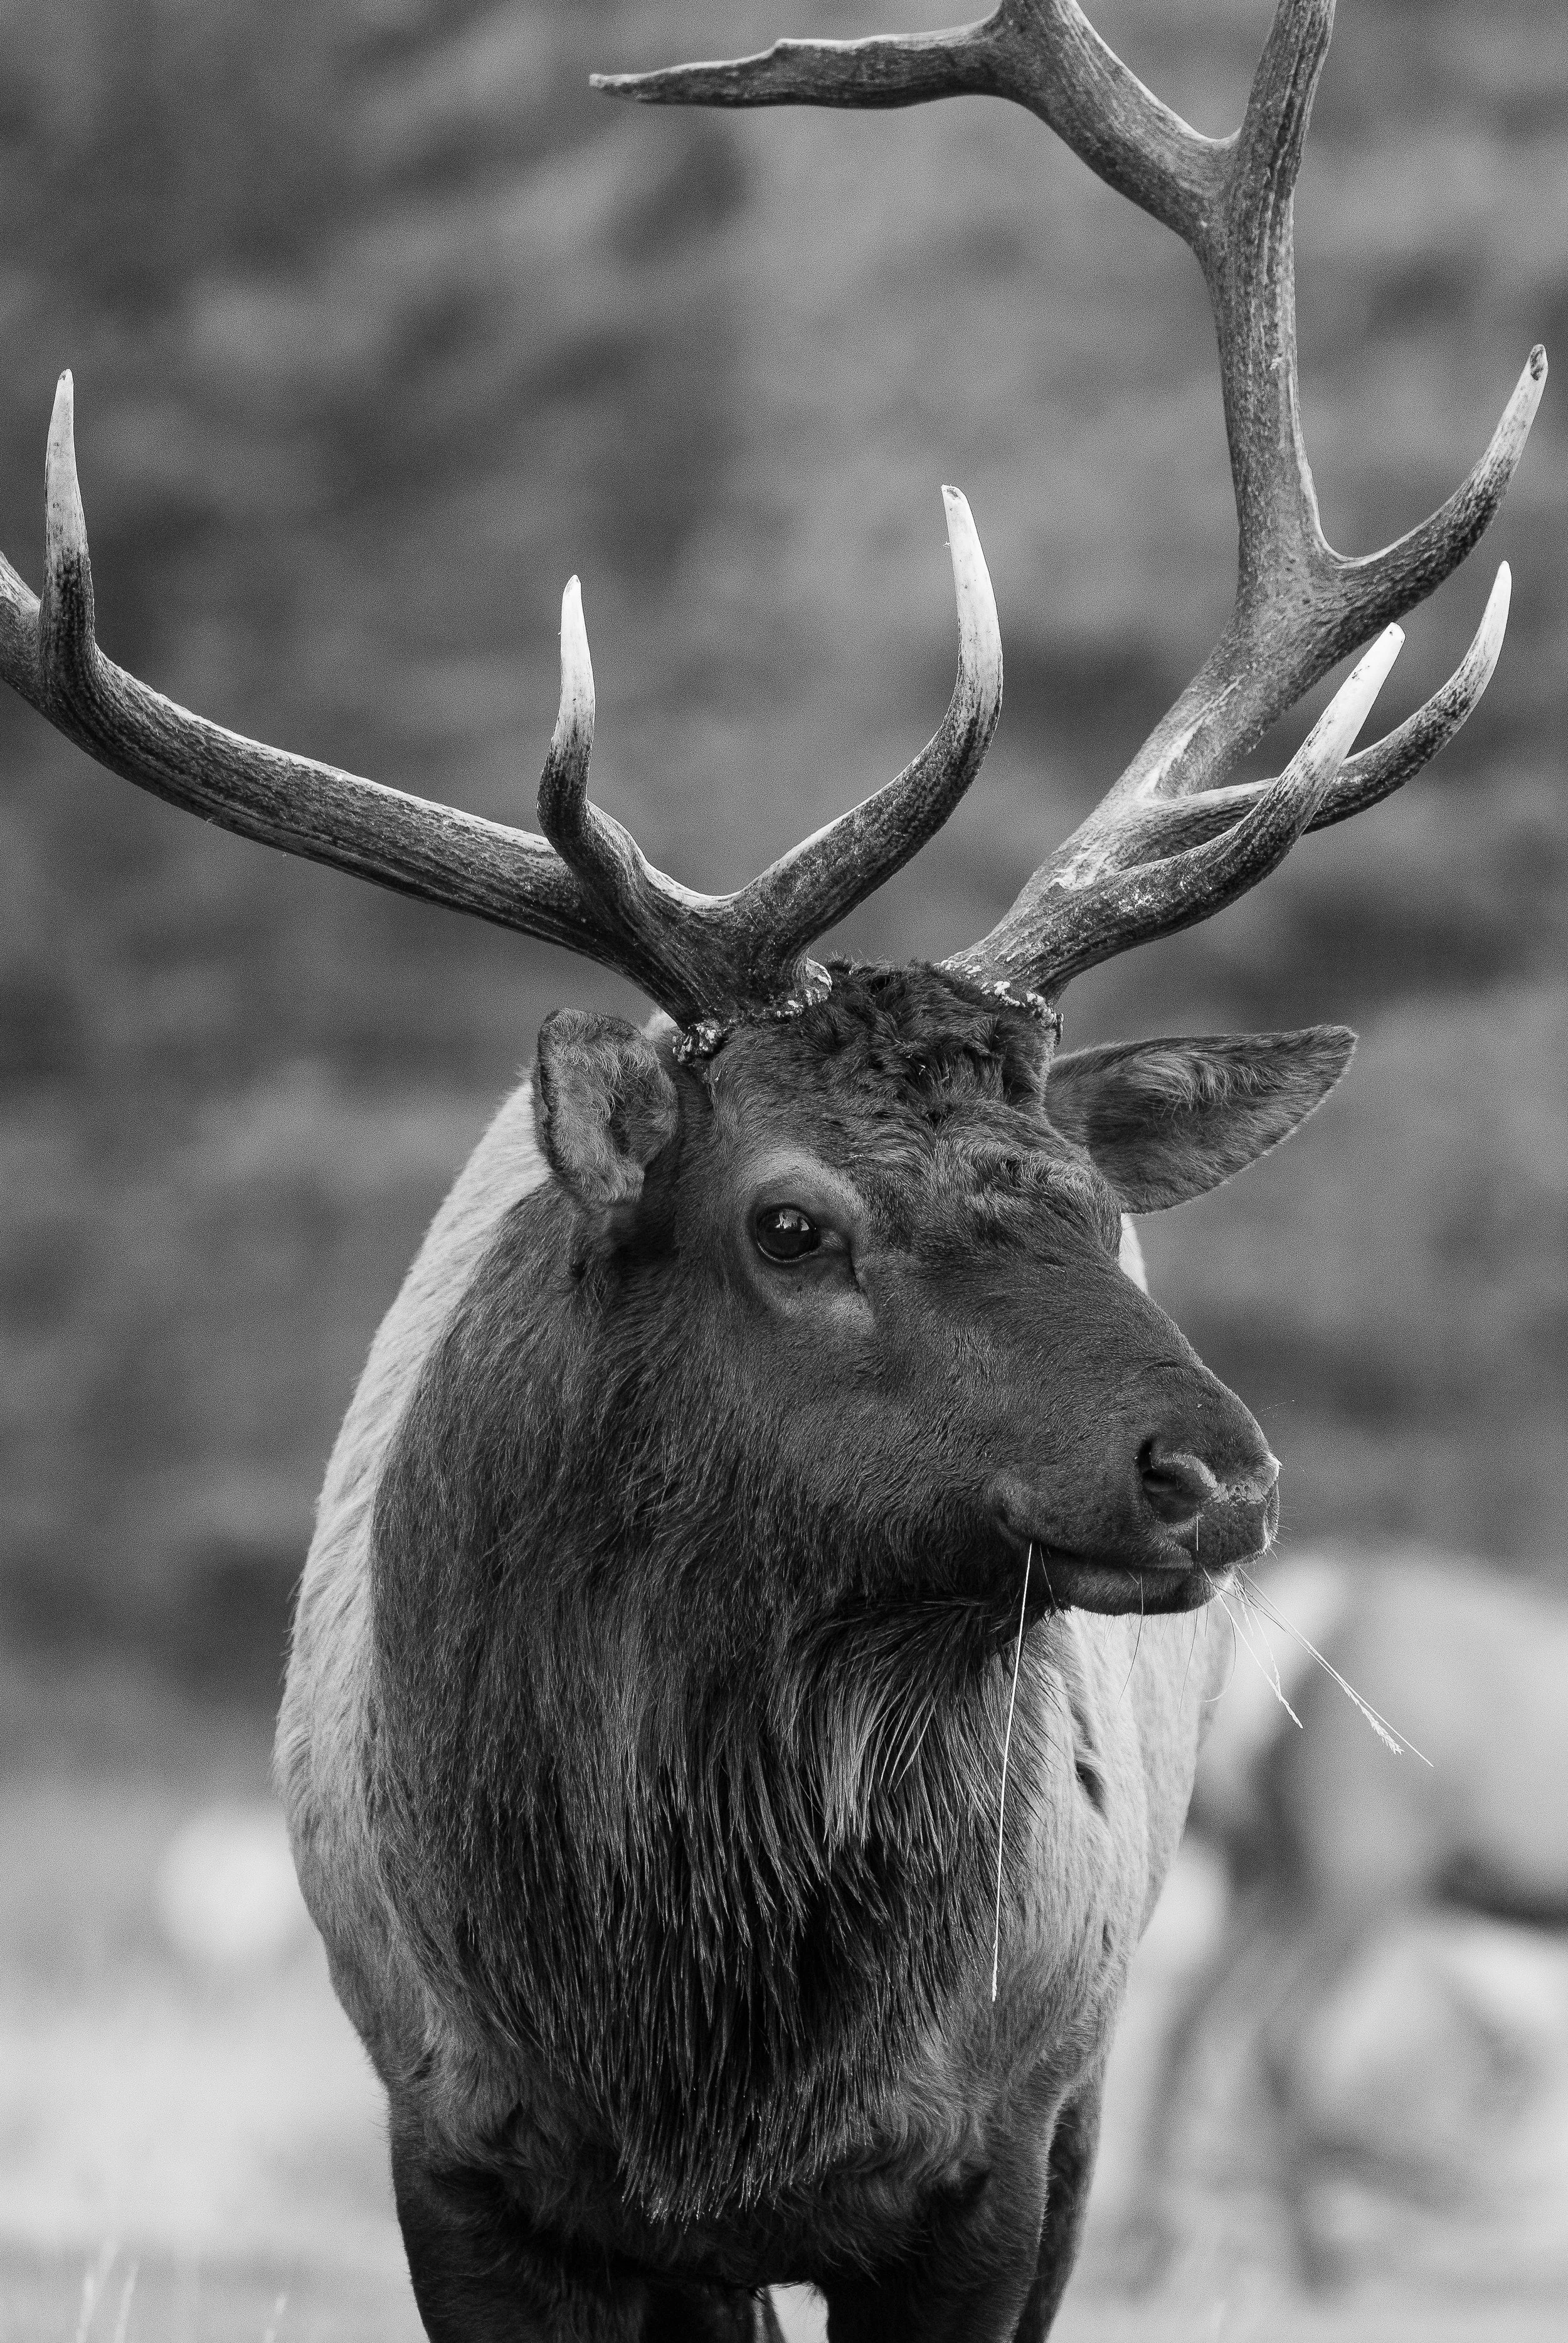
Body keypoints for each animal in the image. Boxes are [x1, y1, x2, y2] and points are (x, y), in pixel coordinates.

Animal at [0, 2, 1543, 2337]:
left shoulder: (990, 2150)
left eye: (1101, 1211)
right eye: (791, 1221)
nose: (1219, 1476)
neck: (684, 2055)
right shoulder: (452, 2143)